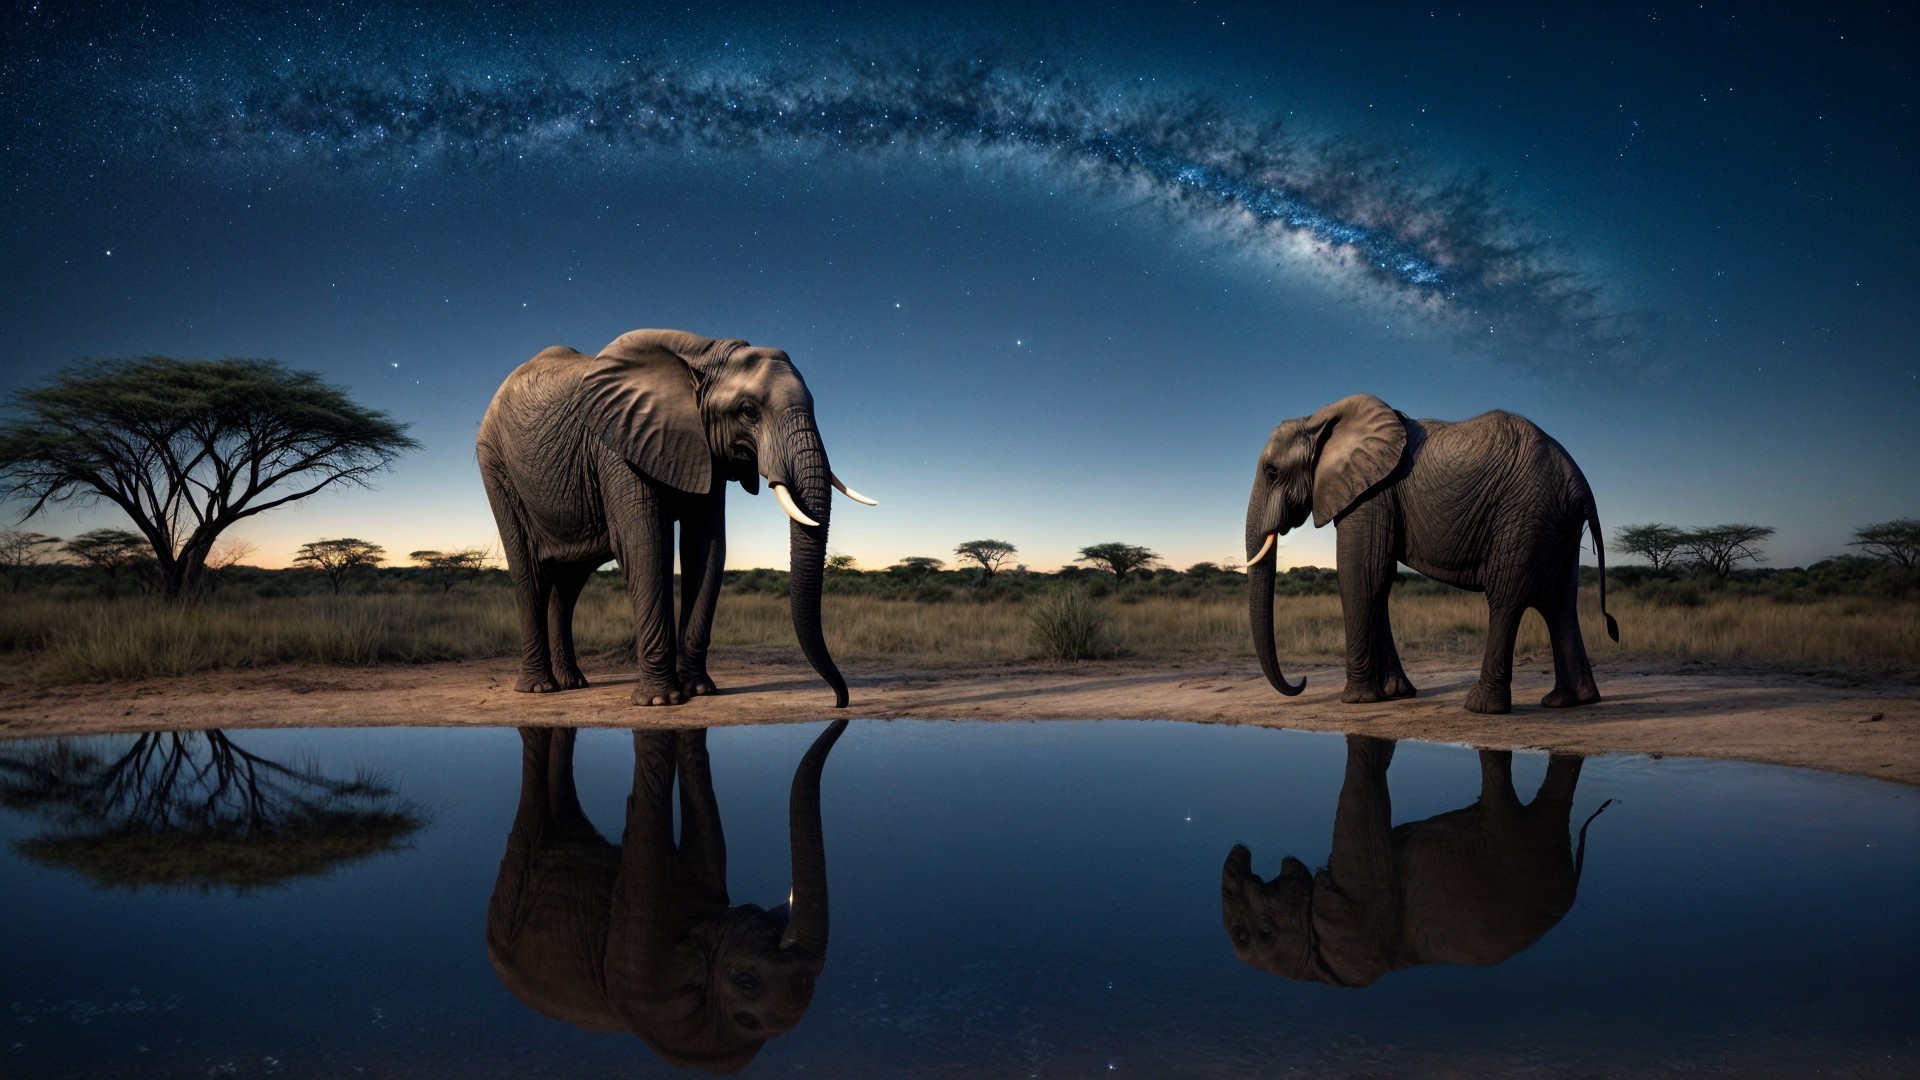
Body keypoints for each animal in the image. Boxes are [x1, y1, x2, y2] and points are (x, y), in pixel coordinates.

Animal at [477, 328, 874, 708]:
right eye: (748, 411)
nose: (839, 702)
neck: (705, 354)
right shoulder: (619, 443)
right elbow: (646, 544)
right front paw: (660, 700)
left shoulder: (705, 450)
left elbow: (706, 548)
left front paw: (699, 690)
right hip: (496, 466)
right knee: (529, 572)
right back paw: (539, 688)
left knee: (569, 582)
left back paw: (573, 684)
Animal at [1245, 394, 1619, 713]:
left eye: (1272, 473)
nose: (1302, 682)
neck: (1317, 419)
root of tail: (1580, 485)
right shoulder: (1376, 492)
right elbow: (1379, 581)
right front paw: (1396, 694)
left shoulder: (1371, 494)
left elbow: (1362, 576)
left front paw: (1357, 700)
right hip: (1556, 523)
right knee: (1560, 603)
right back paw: (1569, 701)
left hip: (1526, 512)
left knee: (1508, 597)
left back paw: (1482, 708)